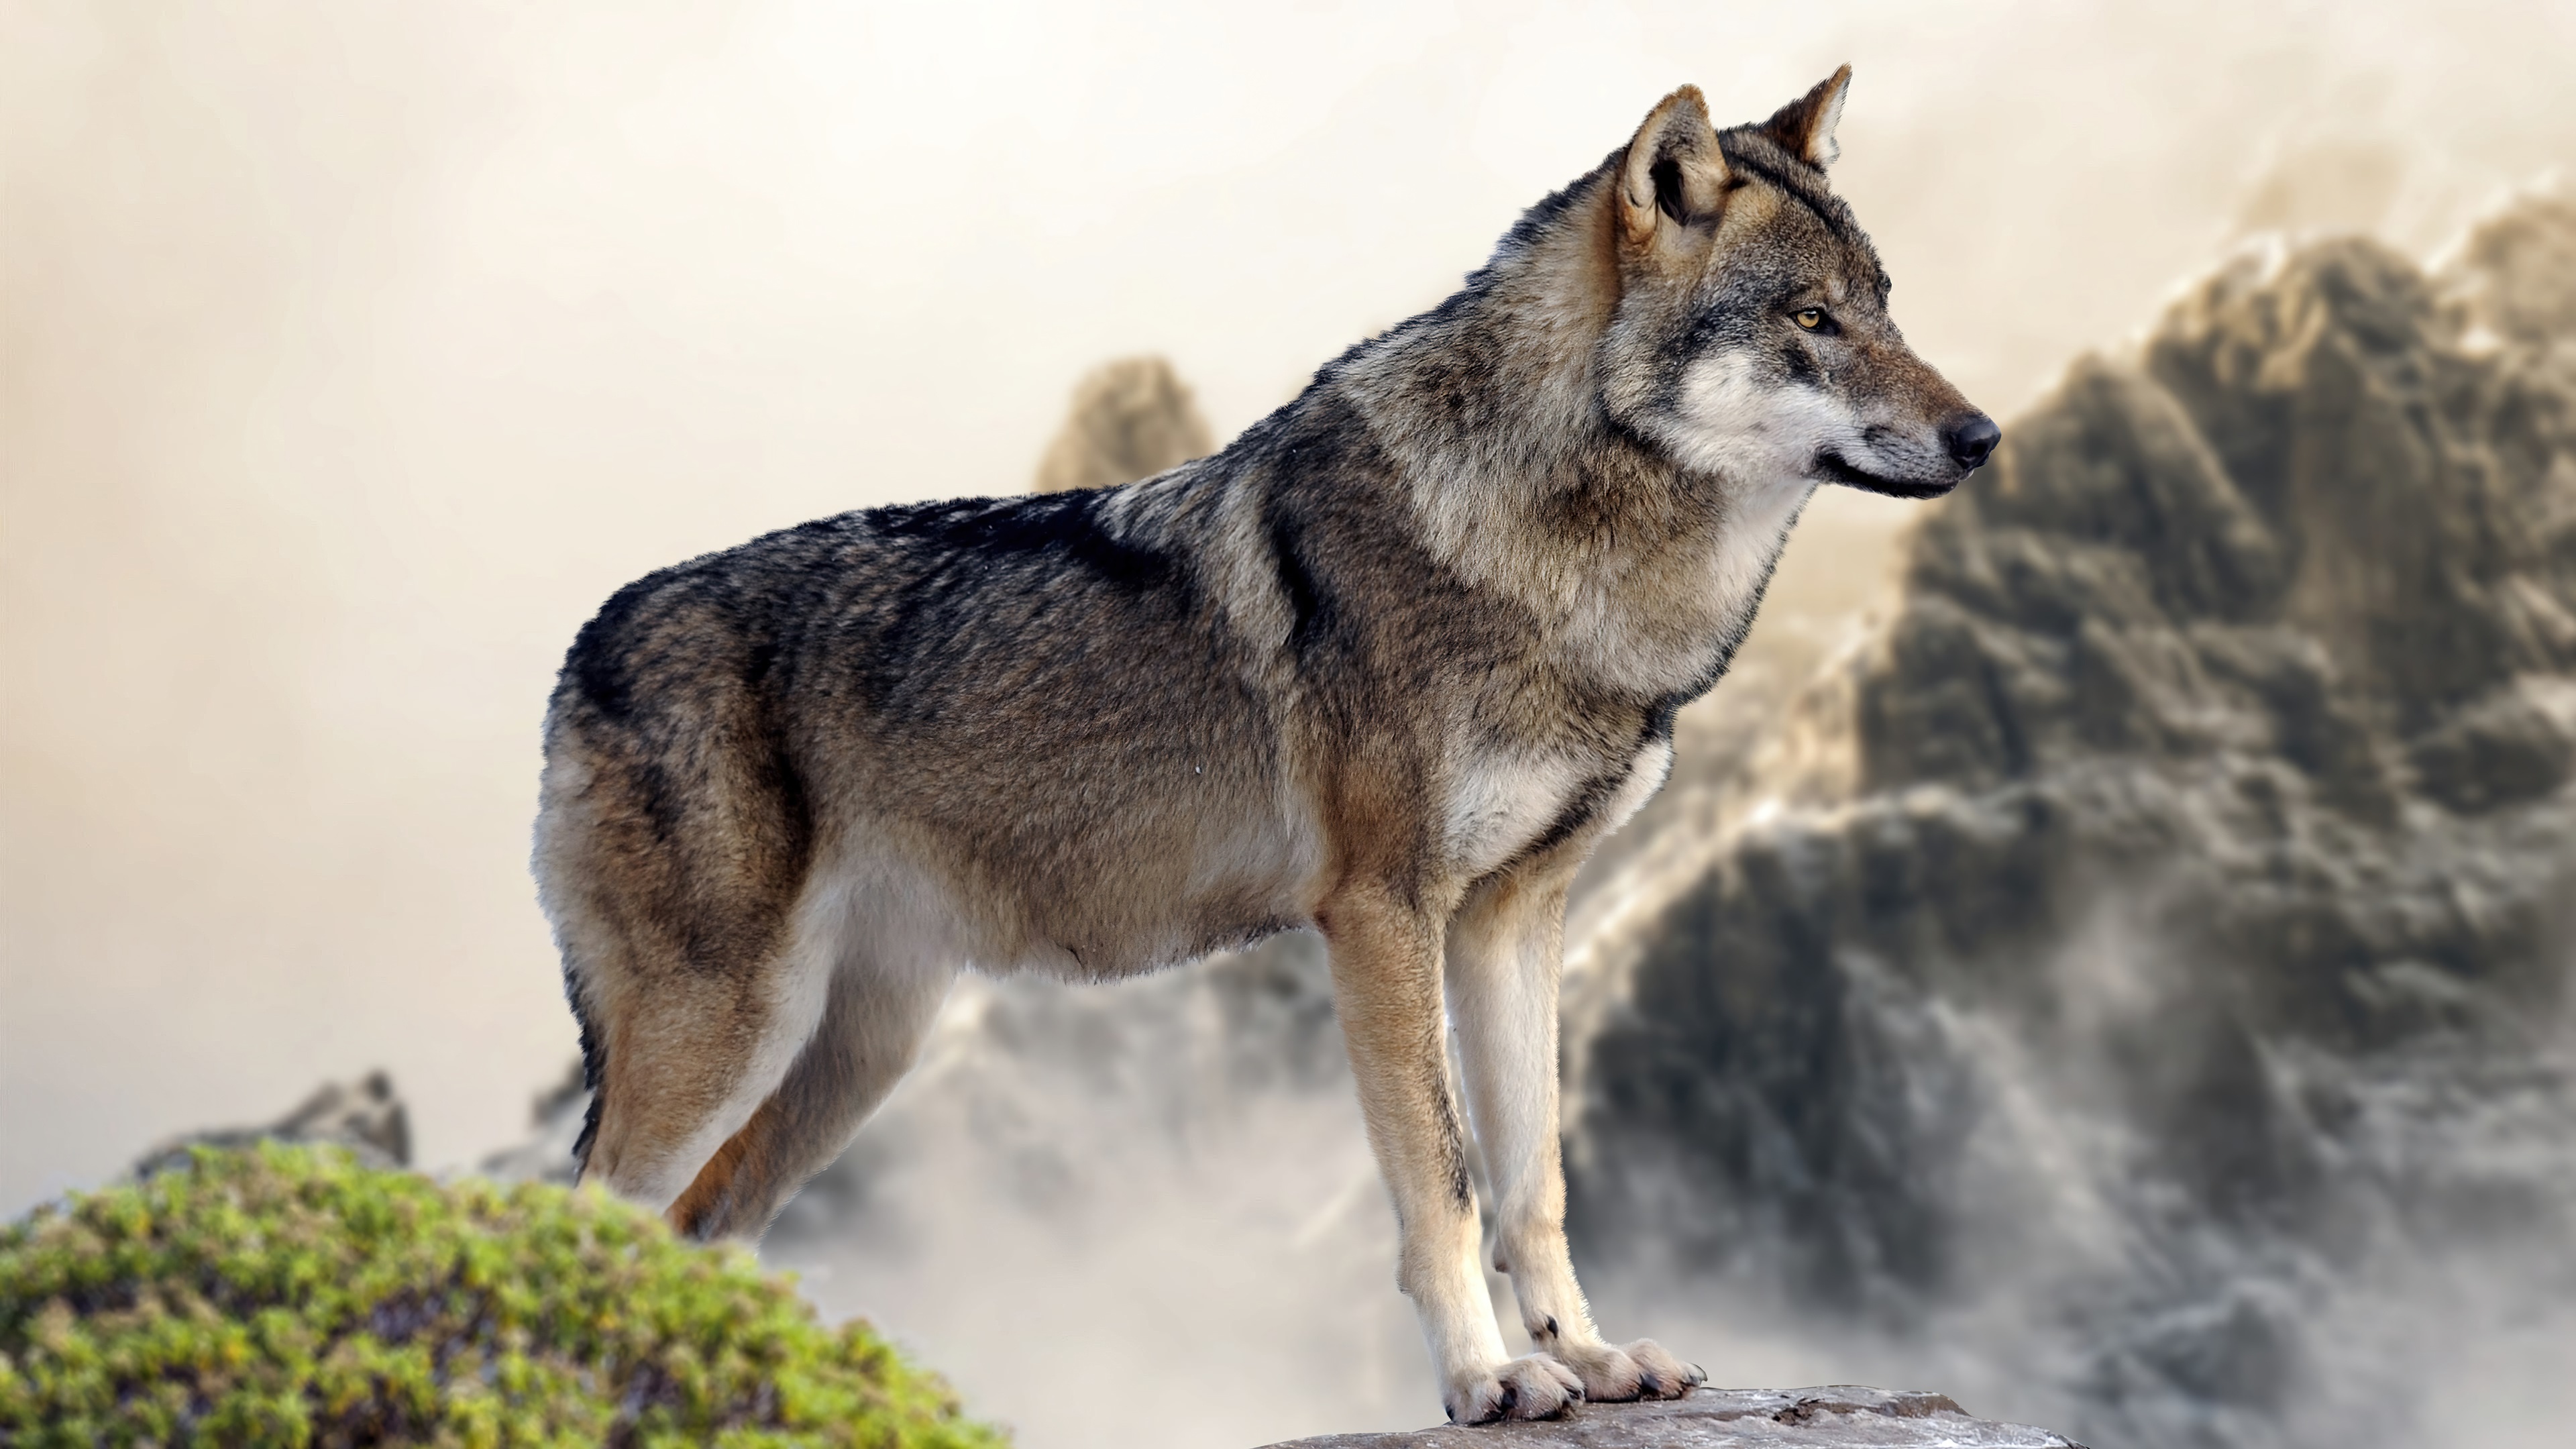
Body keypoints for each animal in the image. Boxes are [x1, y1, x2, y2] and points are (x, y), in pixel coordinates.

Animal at [535, 68, 1994, 1424]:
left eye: (1886, 306)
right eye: (1810, 321)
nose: (1982, 438)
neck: (1554, 559)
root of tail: (582, 644)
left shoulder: (1515, 916)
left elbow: (1536, 1180)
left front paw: (1589, 1357)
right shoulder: (1385, 913)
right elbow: (1447, 1183)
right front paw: (1488, 1380)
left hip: (855, 1055)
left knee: (701, 1229)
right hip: (729, 1033)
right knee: (583, 1217)